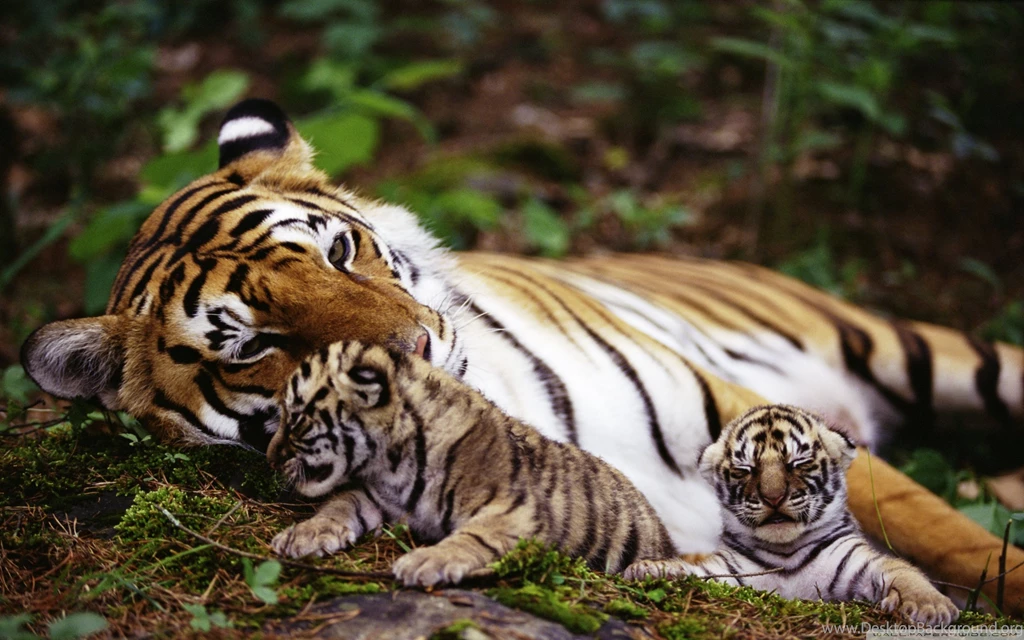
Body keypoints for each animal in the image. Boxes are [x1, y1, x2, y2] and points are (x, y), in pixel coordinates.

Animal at [268, 340, 677, 586]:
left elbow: (471, 537)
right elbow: (339, 504)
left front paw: (422, 562)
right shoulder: (375, 496)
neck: (391, 462)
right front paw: (304, 535)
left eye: (296, 418)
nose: (271, 457)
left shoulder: (514, 511)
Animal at [624, 405, 959, 626]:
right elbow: (696, 570)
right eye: (745, 469)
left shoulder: (860, 563)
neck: (786, 555)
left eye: (797, 463)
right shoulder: (729, 573)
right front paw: (652, 569)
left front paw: (930, 606)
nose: (773, 498)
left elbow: (903, 570)